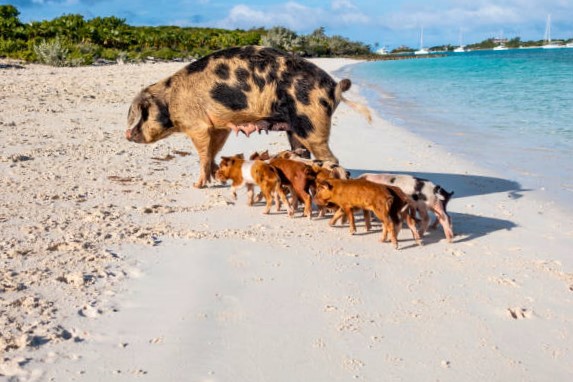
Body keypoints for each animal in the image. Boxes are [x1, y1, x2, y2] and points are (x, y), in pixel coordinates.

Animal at [125, 45, 370, 188]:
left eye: (141, 113)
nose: (127, 134)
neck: (170, 101)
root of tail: (334, 86)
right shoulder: (219, 126)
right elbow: (212, 151)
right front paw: (216, 175)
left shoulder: (197, 125)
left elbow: (203, 153)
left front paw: (198, 185)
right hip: (296, 129)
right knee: (304, 154)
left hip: (312, 122)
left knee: (331, 159)